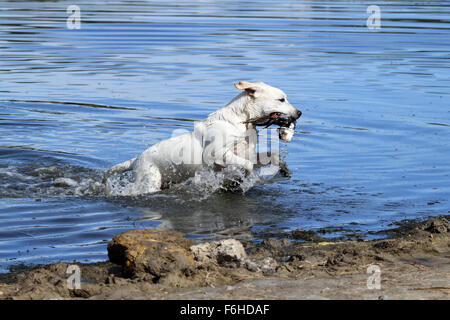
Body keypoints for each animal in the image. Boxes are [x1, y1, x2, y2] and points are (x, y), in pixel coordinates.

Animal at [104, 81, 302, 194]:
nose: (299, 113)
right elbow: (246, 166)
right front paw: (241, 179)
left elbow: (271, 155)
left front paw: (284, 169)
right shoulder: (216, 153)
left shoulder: (249, 154)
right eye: (281, 99)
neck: (242, 123)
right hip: (149, 180)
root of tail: (136, 159)